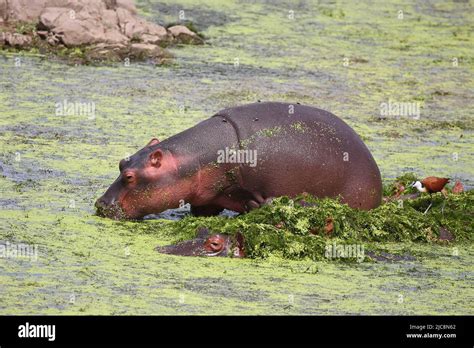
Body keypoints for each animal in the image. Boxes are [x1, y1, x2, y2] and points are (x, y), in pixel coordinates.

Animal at [95, 102, 382, 219]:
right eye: (121, 163)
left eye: (130, 177)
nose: (100, 204)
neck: (192, 159)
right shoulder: (206, 197)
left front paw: (257, 205)